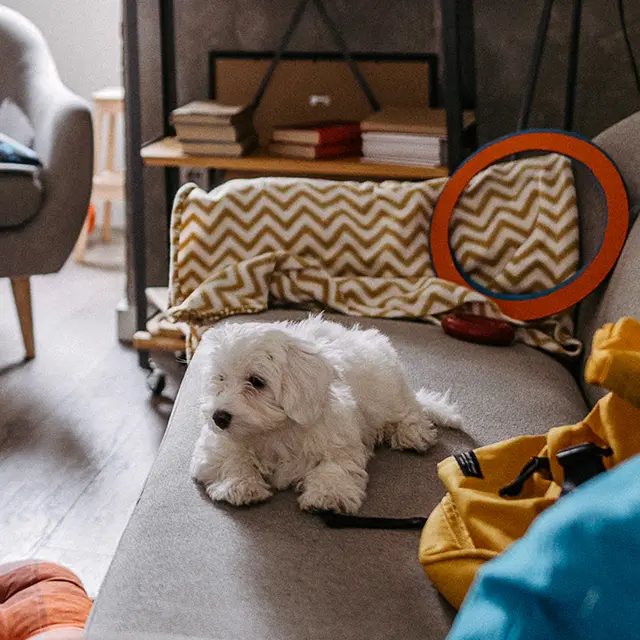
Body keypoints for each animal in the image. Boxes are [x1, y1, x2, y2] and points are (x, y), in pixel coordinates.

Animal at [190, 316, 460, 516]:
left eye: (256, 382)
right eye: (220, 379)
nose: (219, 417)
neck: (275, 430)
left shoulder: (339, 442)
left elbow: (335, 467)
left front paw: (328, 496)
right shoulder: (214, 444)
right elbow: (230, 457)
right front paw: (240, 485)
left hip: (388, 393)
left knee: (409, 410)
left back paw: (413, 432)